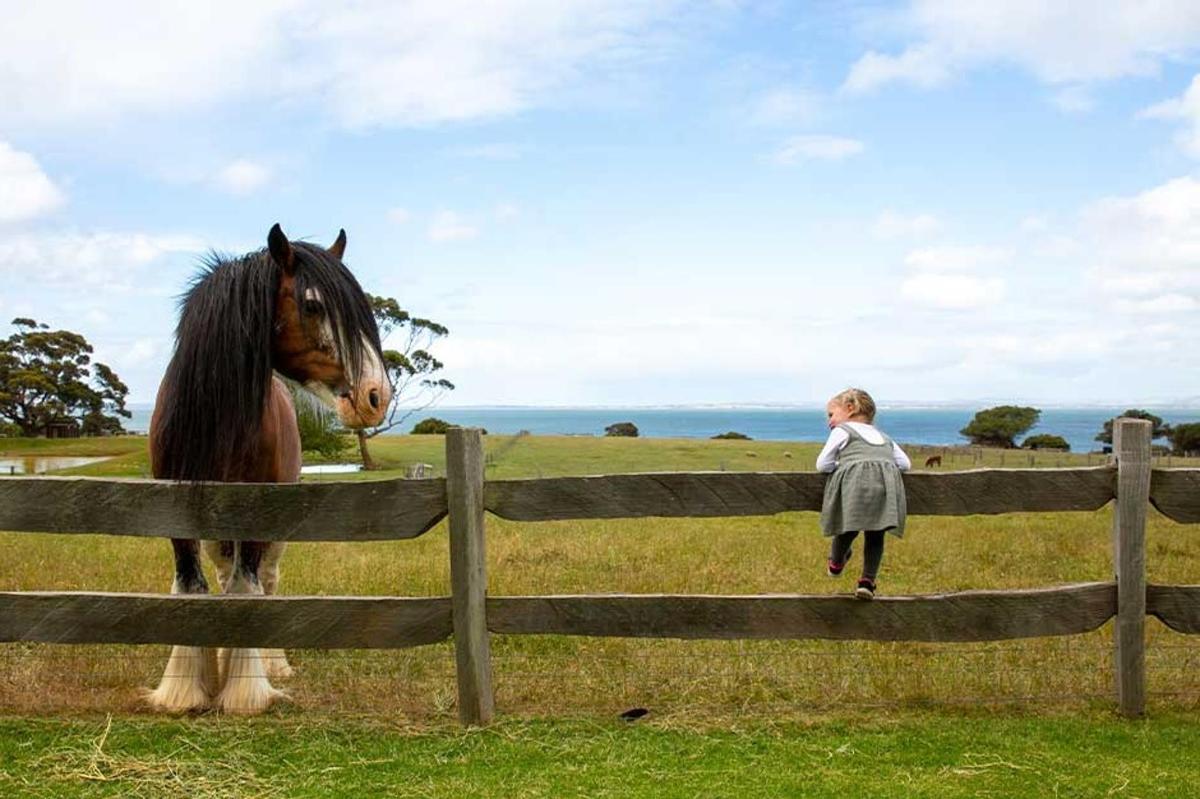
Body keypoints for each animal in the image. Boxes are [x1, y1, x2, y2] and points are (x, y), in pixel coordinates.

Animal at [144, 221, 388, 710]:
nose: (376, 395)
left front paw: (245, 690)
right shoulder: (177, 509)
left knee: (267, 582)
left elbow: (248, 588)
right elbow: (191, 586)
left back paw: (271, 663)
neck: (216, 419)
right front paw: (183, 690)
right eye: (313, 305)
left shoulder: (258, 510)